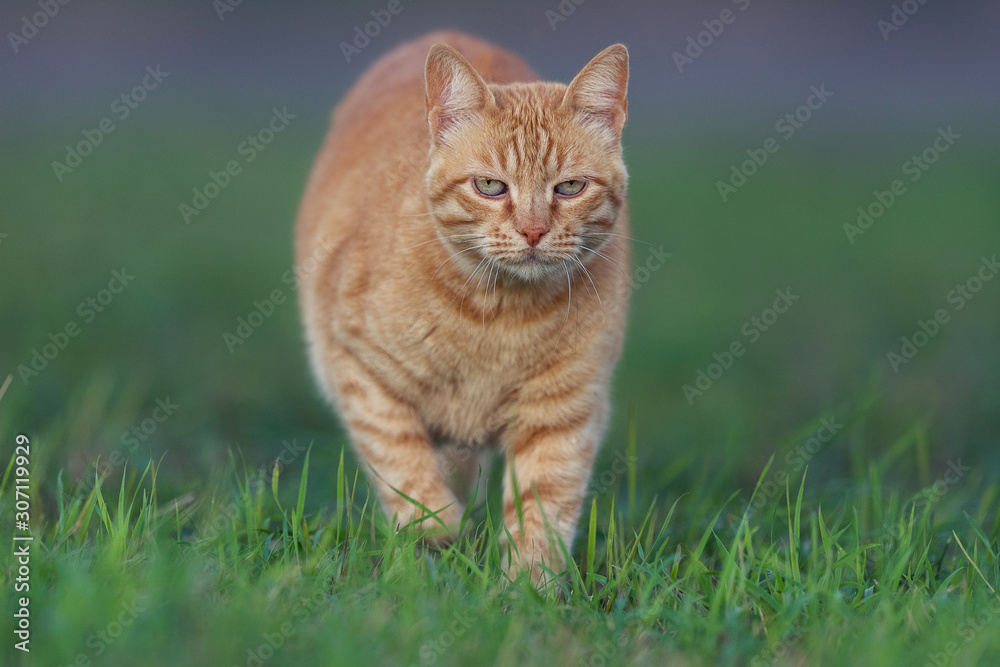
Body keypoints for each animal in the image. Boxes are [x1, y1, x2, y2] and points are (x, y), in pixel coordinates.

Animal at [292, 31, 628, 580]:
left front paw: (526, 588)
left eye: (570, 187)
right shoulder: (362, 374)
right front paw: (437, 546)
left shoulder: (563, 411)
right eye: (489, 186)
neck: (499, 316)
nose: (533, 231)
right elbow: (409, 476)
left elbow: (541, 510)